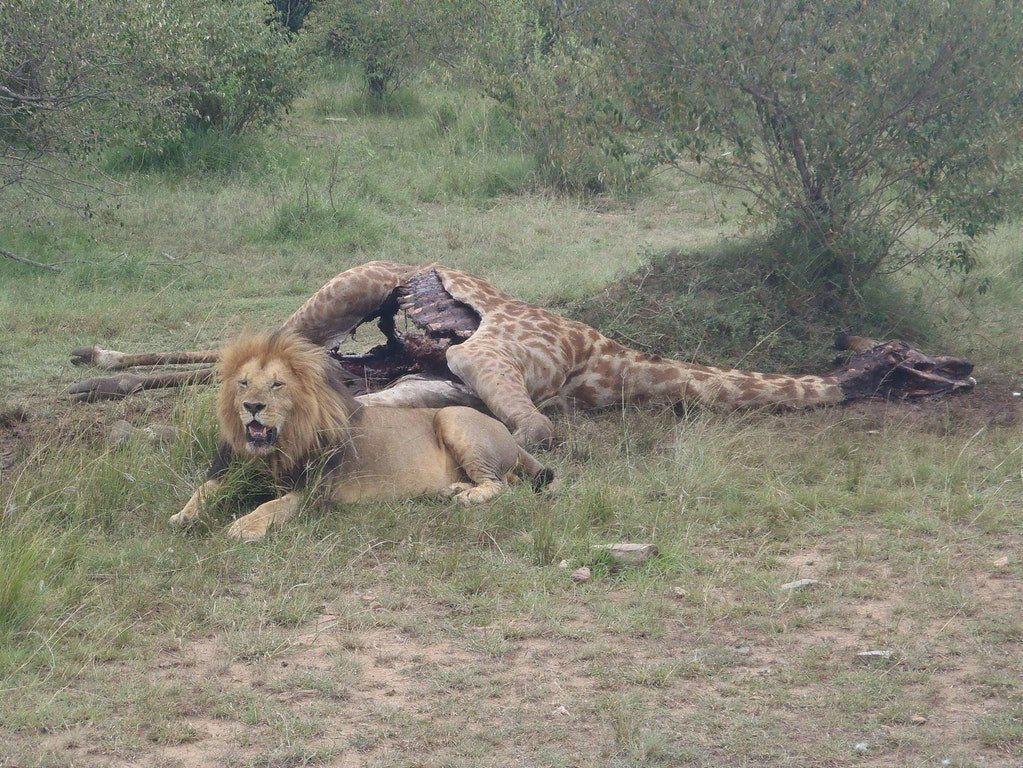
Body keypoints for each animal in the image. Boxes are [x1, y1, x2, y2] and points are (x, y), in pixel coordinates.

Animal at [169, 331, 554, 541]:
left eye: (277, 384)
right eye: (244, 383)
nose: (252, 406)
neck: (276, 447)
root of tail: (509, 436)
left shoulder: (314, 492)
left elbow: (272, 505)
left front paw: (245, 526)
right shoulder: (229, 470)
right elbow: (202, 490)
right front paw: (183, 516)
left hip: (452, 416)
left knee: (500, 485)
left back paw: (466, 496)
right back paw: (453, 489)